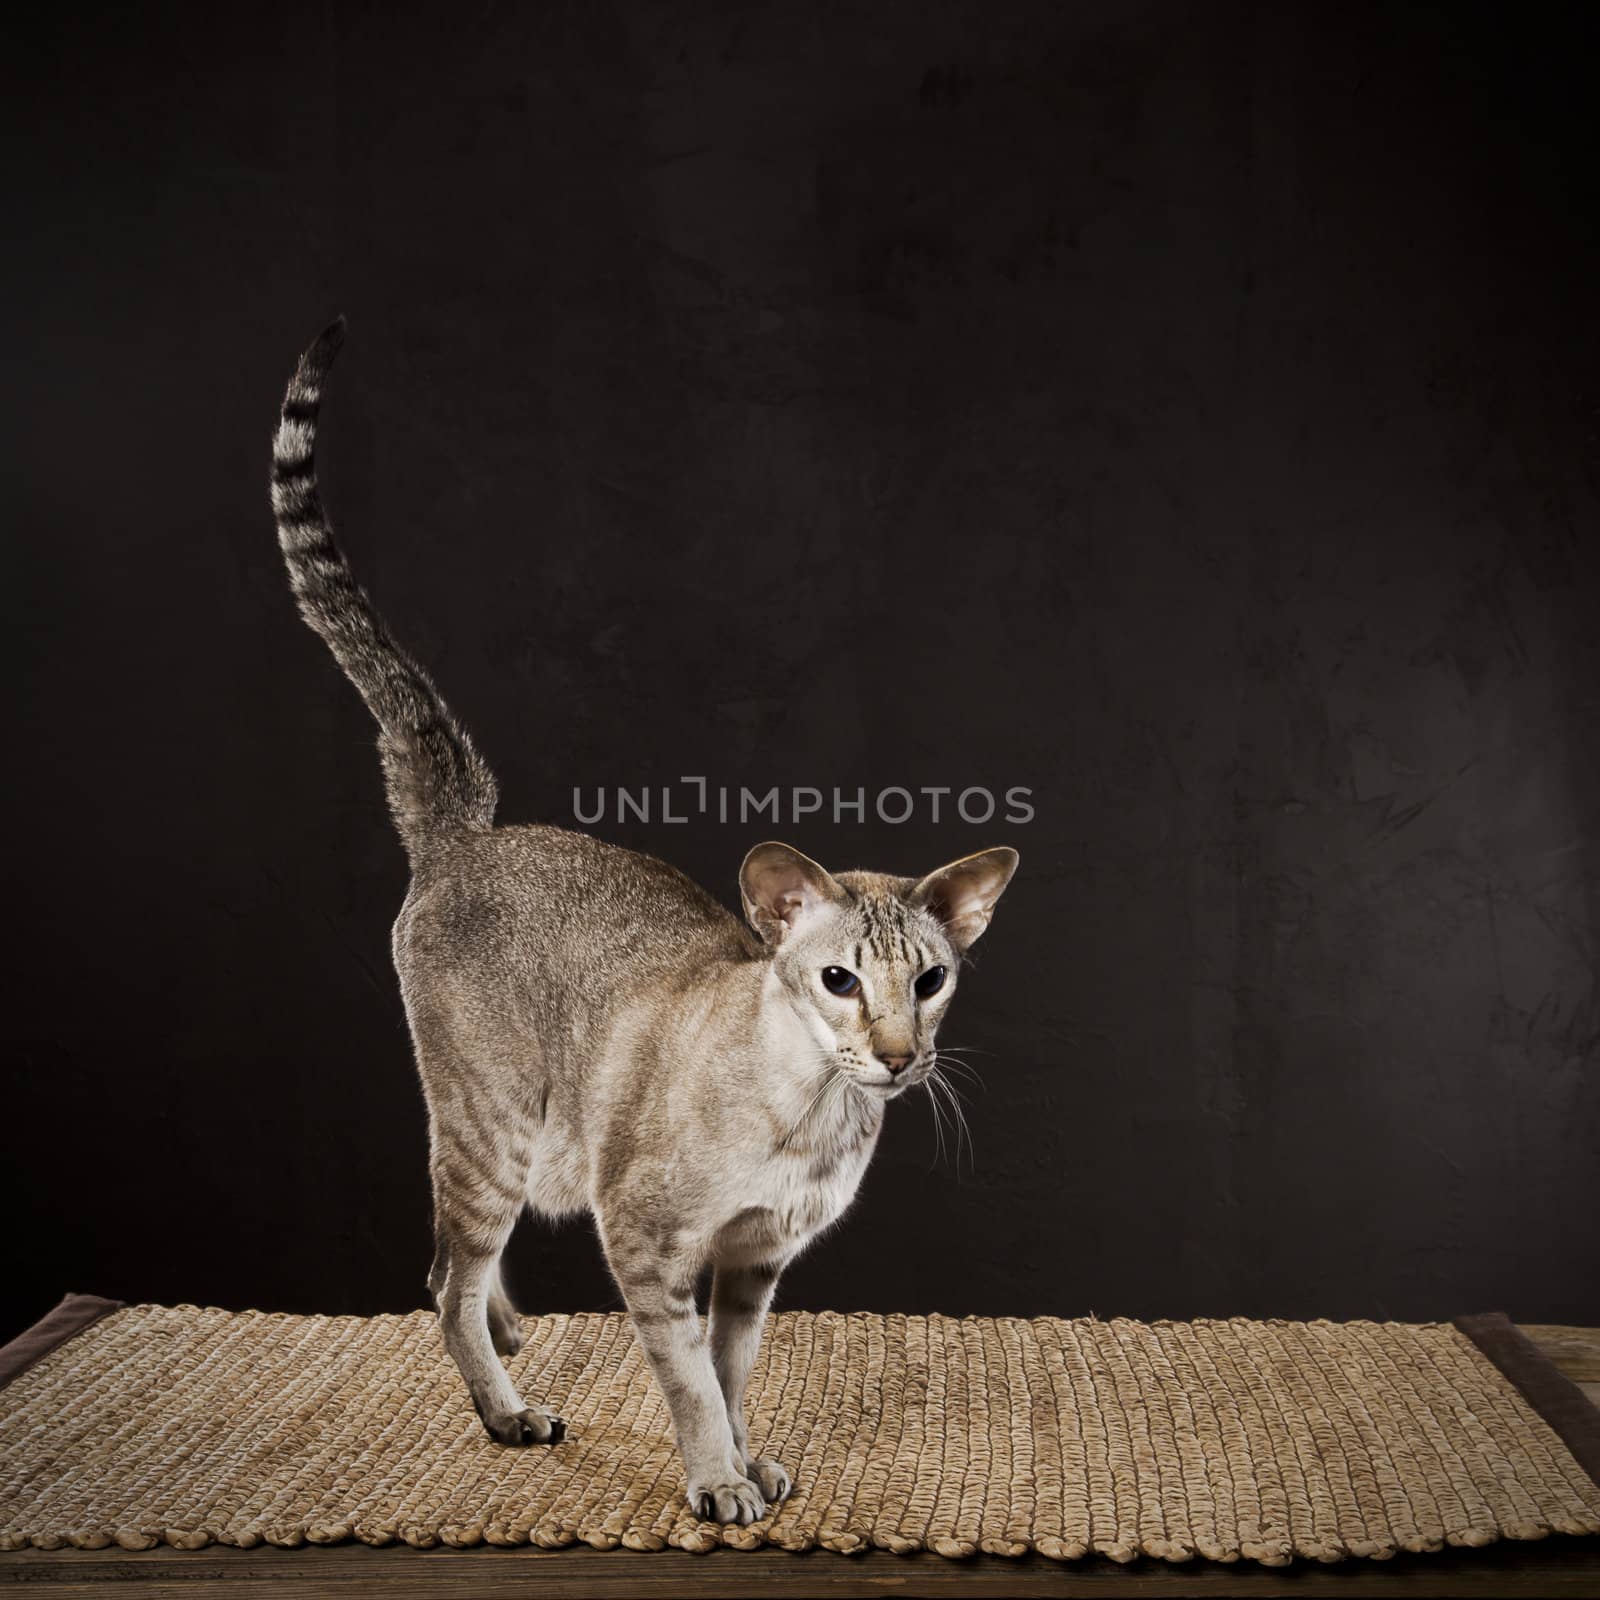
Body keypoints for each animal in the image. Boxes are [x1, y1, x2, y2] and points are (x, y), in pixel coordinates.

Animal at [262, 315, 1011, 1523]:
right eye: (839, 980)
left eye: (929, 980)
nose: (899, 1056)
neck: (814, 1115)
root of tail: (468, 833)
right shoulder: (650, 1242)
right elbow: (688, 1375)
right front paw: (717, 1481)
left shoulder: (756, 1263)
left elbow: (733, 1369)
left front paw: (750, 1461)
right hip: (495, 1125)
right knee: (444, 1278)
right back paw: (506, 1407)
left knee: (455, 1270)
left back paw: (514, 1331)